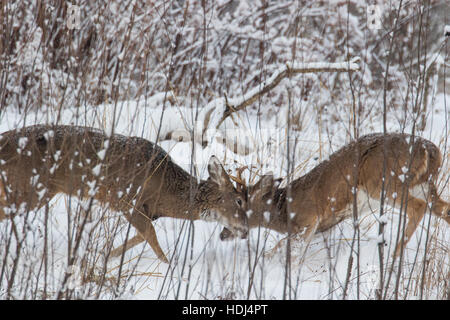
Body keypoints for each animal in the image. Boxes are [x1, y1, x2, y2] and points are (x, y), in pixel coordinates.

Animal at [0, 124, 248, 262]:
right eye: (239, 201)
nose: (245, 231)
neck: (165, 191)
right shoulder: (126, 200)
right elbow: (151, 236)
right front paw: (168, 267)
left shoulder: (145, 211)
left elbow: (141, 236)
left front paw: (106, 256)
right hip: (28, 188)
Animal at [220, 134, 448, 258]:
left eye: (239, 202)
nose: (223, 233)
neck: (284, 211)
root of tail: (430, 150)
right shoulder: (323, 226)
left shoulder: (309, 220)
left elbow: (285, 249)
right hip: (422, 184)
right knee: (443, 207)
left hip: (384, 182)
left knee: (418, 207)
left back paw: (394, 256)